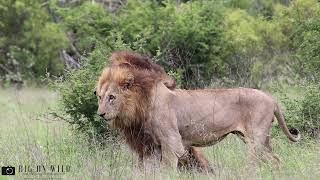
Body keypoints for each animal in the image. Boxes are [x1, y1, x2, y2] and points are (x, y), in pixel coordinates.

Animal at [95, 54, 300, 170]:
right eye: (99, 96)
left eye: (112, 97)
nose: (100, 114)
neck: (142, 102)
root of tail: (271, 98)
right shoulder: (155, 146)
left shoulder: (172, 143)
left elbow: (167, 171)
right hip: (259, 139)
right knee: (276, 159)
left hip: (255, 140)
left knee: (255, 164)